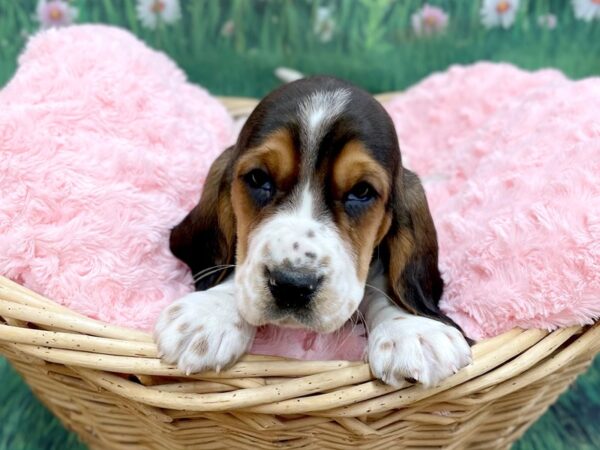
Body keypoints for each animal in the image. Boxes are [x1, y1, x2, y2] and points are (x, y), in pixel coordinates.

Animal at [156, 76, 474, 386]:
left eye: (362, 191)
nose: (291, 285)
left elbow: (385, 287)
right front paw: (210, 313)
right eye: (258, 178)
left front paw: (412, 329)